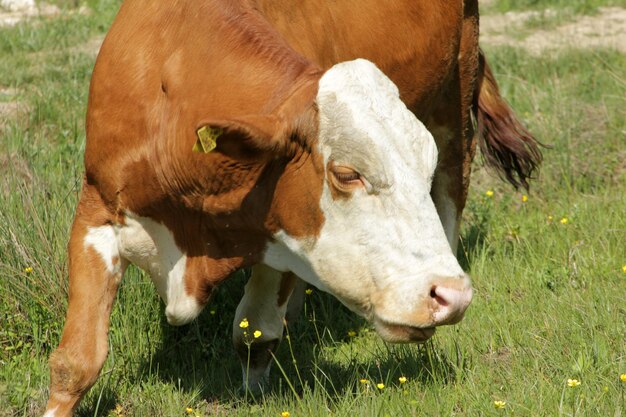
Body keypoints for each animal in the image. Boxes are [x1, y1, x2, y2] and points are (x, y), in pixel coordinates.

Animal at [45, 0, 540, 412]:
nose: (451, 294)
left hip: (456, 94)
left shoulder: (284, 235)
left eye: (423, 166)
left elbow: (256, 334)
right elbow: (76, 361)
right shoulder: (96, 208)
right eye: (347, 173)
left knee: (455, 182)